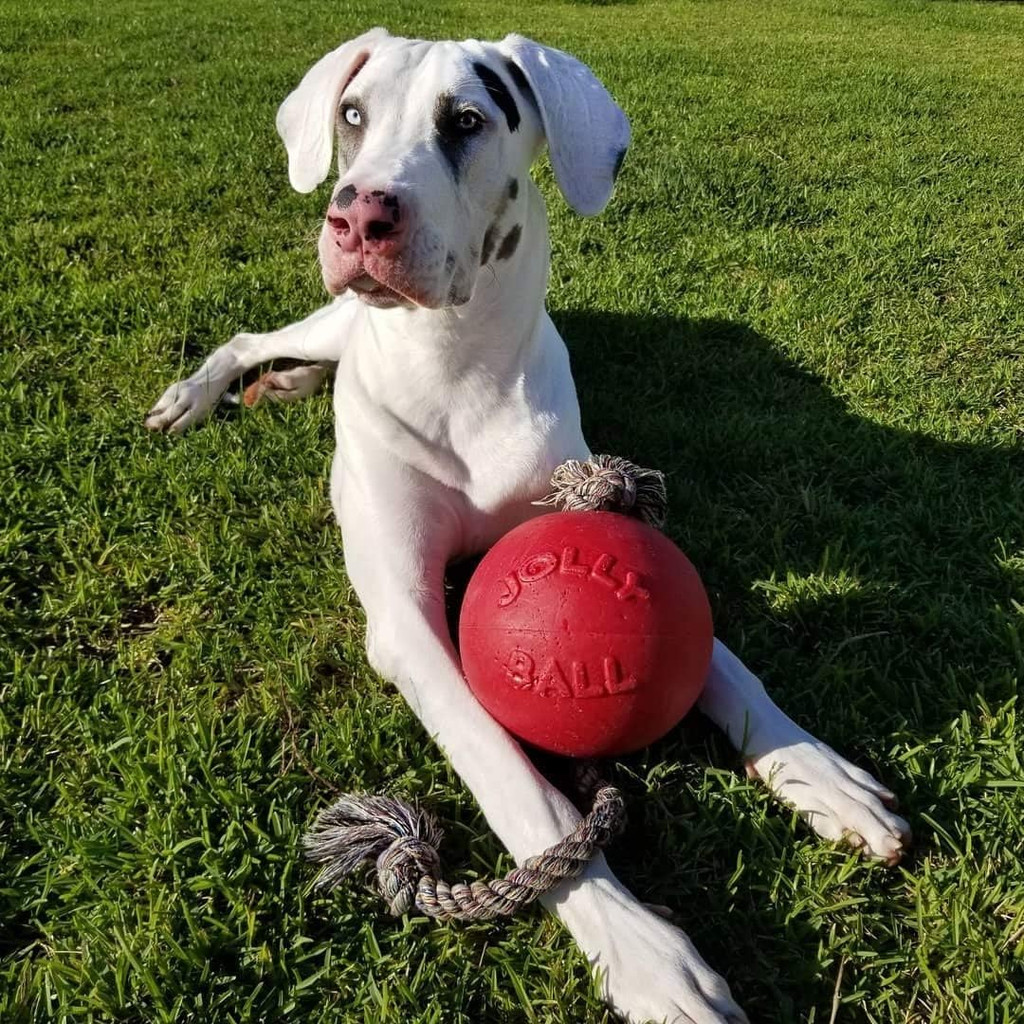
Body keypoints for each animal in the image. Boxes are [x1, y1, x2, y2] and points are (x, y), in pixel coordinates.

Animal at [146, 28, 913, 1019]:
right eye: (352, 115)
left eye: (468, 121)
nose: (357, 218)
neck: (455, 365)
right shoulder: (406, 621)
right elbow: (520, 786)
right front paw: (645, 952)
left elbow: (725, 664)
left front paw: (818, 771)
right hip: (330, 313)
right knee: (252, 337)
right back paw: (199, 394)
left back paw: (289, 384)